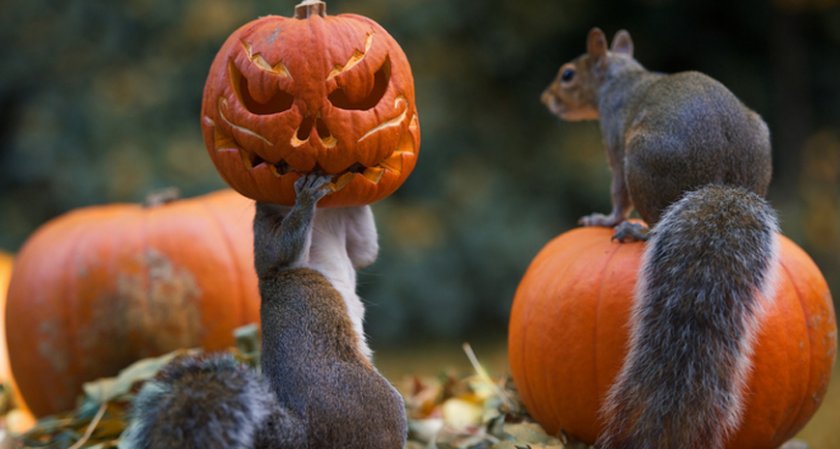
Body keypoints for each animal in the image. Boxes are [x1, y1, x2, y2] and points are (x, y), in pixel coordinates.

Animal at [119, 174, 406, 448]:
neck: (324, 215)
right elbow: (281, 249)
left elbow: (364, 250)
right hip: (376, 404)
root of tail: (304, 434)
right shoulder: (265, 234)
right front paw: (306, 196)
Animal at [540, 28, 776, 448]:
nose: (545, 98)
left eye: (567, 74)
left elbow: (617, 193)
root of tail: (724, 183)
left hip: (641, 158)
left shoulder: (615, 143)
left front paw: (606, 218)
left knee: (650, 221)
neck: (622, 76)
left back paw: (636, 230)